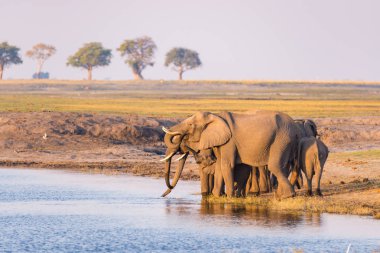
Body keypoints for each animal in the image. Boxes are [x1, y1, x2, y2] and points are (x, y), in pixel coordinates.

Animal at [160, 110, 300, 200]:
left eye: (190, 125)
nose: (162, 196)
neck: (216, 116)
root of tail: (295, 126)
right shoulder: (221, 141)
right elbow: (219, 166)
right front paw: (216, 196)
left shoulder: (230, 141)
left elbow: (226, 165)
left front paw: (229, 197)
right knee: (284, 166)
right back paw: (281, 195)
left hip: (282, 138)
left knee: (275, 166)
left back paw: (288, 196)